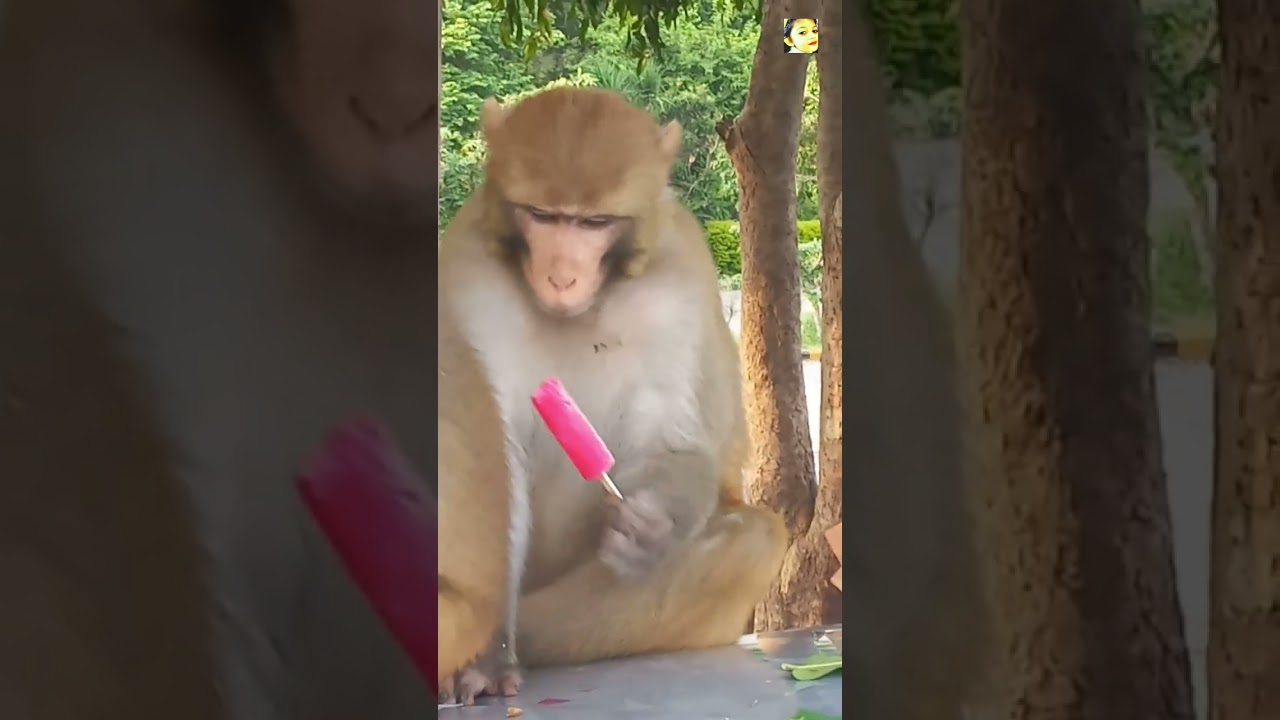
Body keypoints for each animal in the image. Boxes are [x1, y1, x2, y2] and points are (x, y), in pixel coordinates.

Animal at [435, 87, 790, 705]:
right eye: (542, 216)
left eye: (593, 222)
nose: (561, 277)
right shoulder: (469, 278)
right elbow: (491, 465)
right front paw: (484, 657)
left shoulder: (675, 283)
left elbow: (670, 436)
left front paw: (650, 528)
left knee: (755, 540)